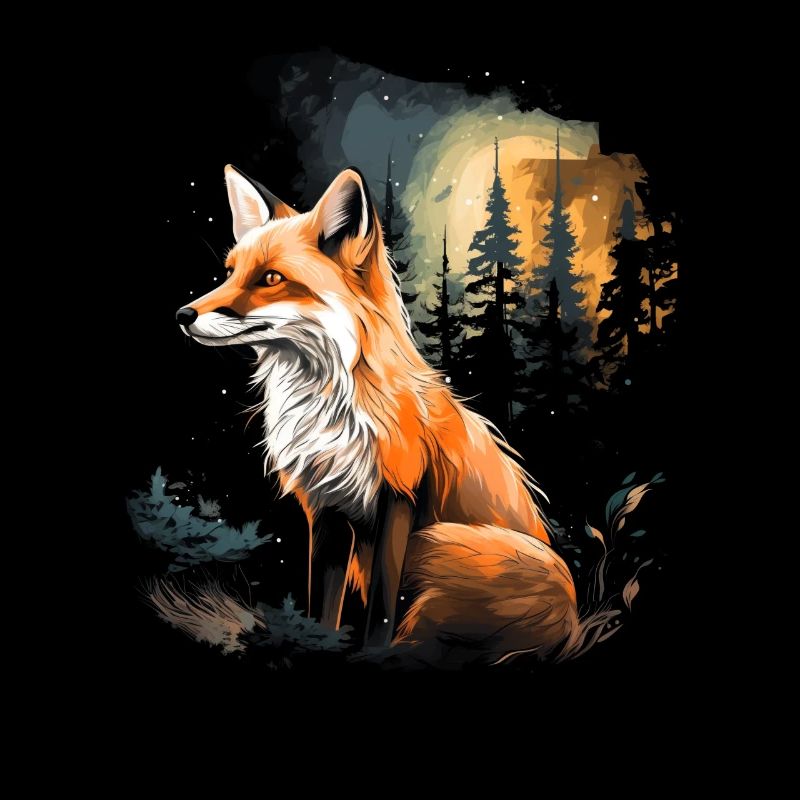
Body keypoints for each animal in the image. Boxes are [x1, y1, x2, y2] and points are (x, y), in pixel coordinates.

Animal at [168, 164, 617, 666]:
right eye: (229, 273)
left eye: (270, 278)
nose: (183, 314)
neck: (330, 407)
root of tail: (574, 625)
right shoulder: (326, 508)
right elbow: (322, 602)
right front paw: (319, 645)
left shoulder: (396, 498)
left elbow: (382, 605)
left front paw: (369, 653)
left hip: (435, 540)